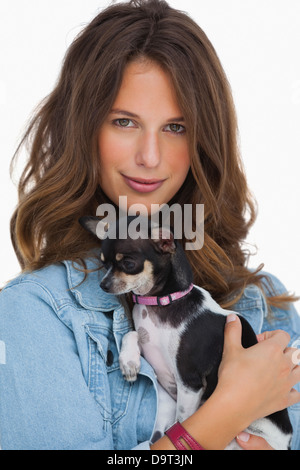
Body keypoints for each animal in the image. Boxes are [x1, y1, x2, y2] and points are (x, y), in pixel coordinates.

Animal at [78, 215, 292, 450]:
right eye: (104, 264)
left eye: (128, 264)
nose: (103, 285)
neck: (161, 303)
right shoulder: (146, 339)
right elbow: (130, 334)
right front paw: (129, 362)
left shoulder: (189, 382)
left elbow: (182, 419)